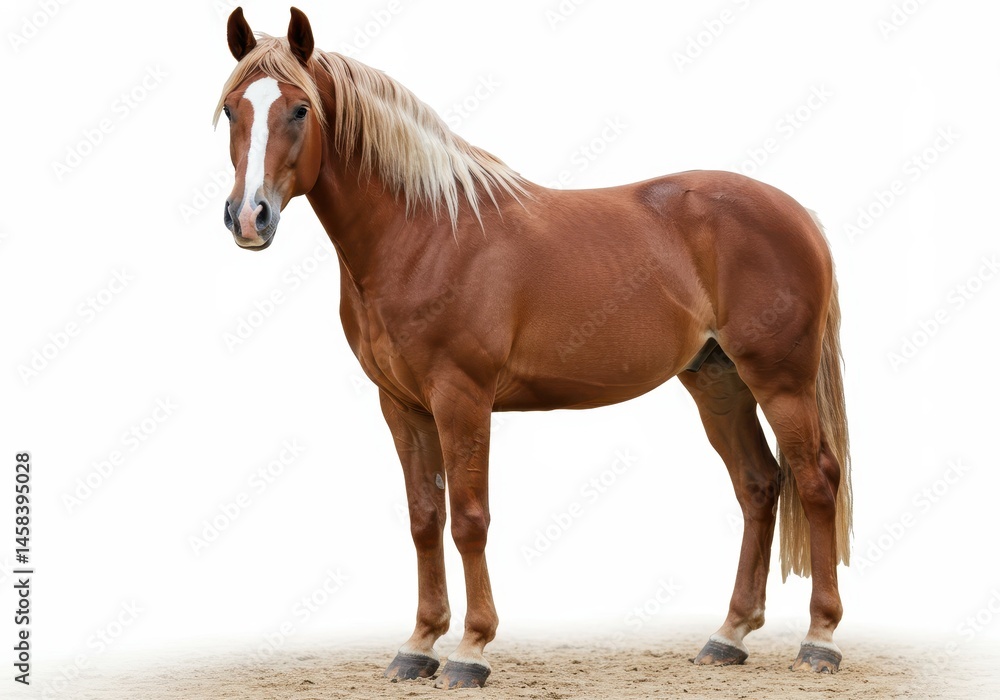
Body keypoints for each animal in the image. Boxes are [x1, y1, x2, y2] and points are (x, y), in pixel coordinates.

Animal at [216, 7, 853, 689]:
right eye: (231, 108)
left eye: (300, 108)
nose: (249, 217)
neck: (423, 232)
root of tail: (799, 215)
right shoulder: (401, 405)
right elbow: (424, 519)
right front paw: (419, 644)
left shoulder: (461, 398)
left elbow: (470, 519)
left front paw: (471, 650)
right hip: (718, 380)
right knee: (758, 485)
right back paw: (728, 635)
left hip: (780, 380)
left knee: (815, 481)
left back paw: (820, 639)